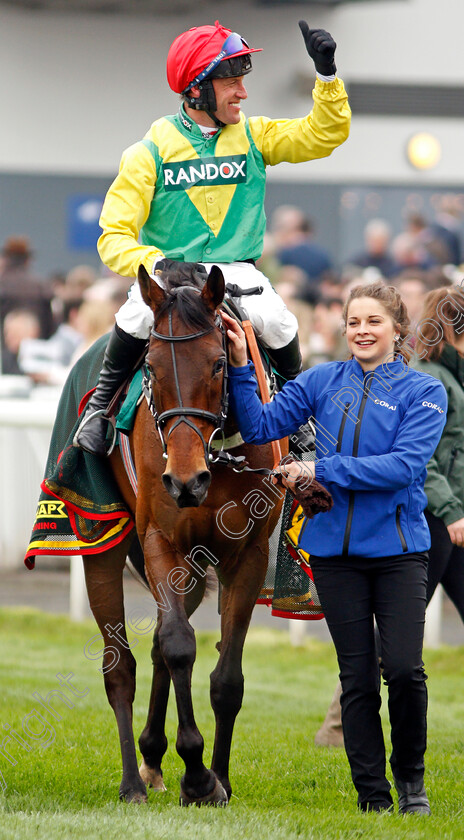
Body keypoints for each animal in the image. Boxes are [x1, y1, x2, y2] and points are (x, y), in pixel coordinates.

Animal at [83, 266, 286, 804]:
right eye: (150, 368)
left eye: (218, 363)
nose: (185, 481)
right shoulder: (161, 538)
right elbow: (178, 645)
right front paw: (195, 773)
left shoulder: (248, 553)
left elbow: (226, 678)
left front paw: (218, 778)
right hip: (104, 540)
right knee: (121, 665)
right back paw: (133, 781)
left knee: (154, 646)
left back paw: (153, 758)